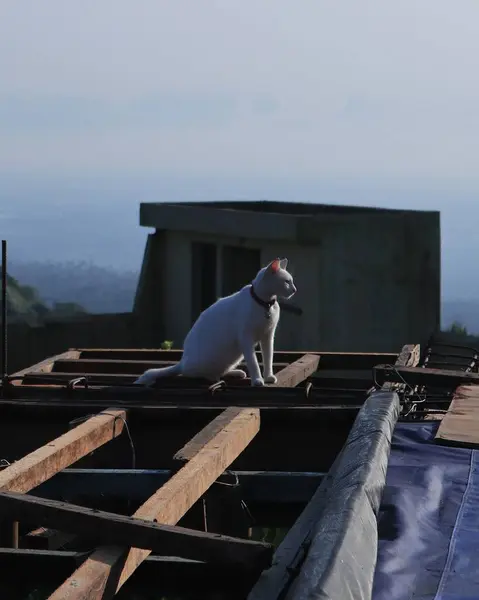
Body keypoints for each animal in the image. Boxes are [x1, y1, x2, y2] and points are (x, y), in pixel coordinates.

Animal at [135, 258, 298, 390]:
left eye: (291, 281)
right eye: (287, 281)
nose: (295, 290)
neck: (265, 304)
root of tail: (182, 361)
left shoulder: (268, 336)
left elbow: (268, 357)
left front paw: (268, 376)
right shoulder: (246, 338)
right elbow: (254, 362)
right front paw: (257, 379)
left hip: (234, 355)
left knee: (221, 369)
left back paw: (236, 372)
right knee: (198, 373)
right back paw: (214, 376)